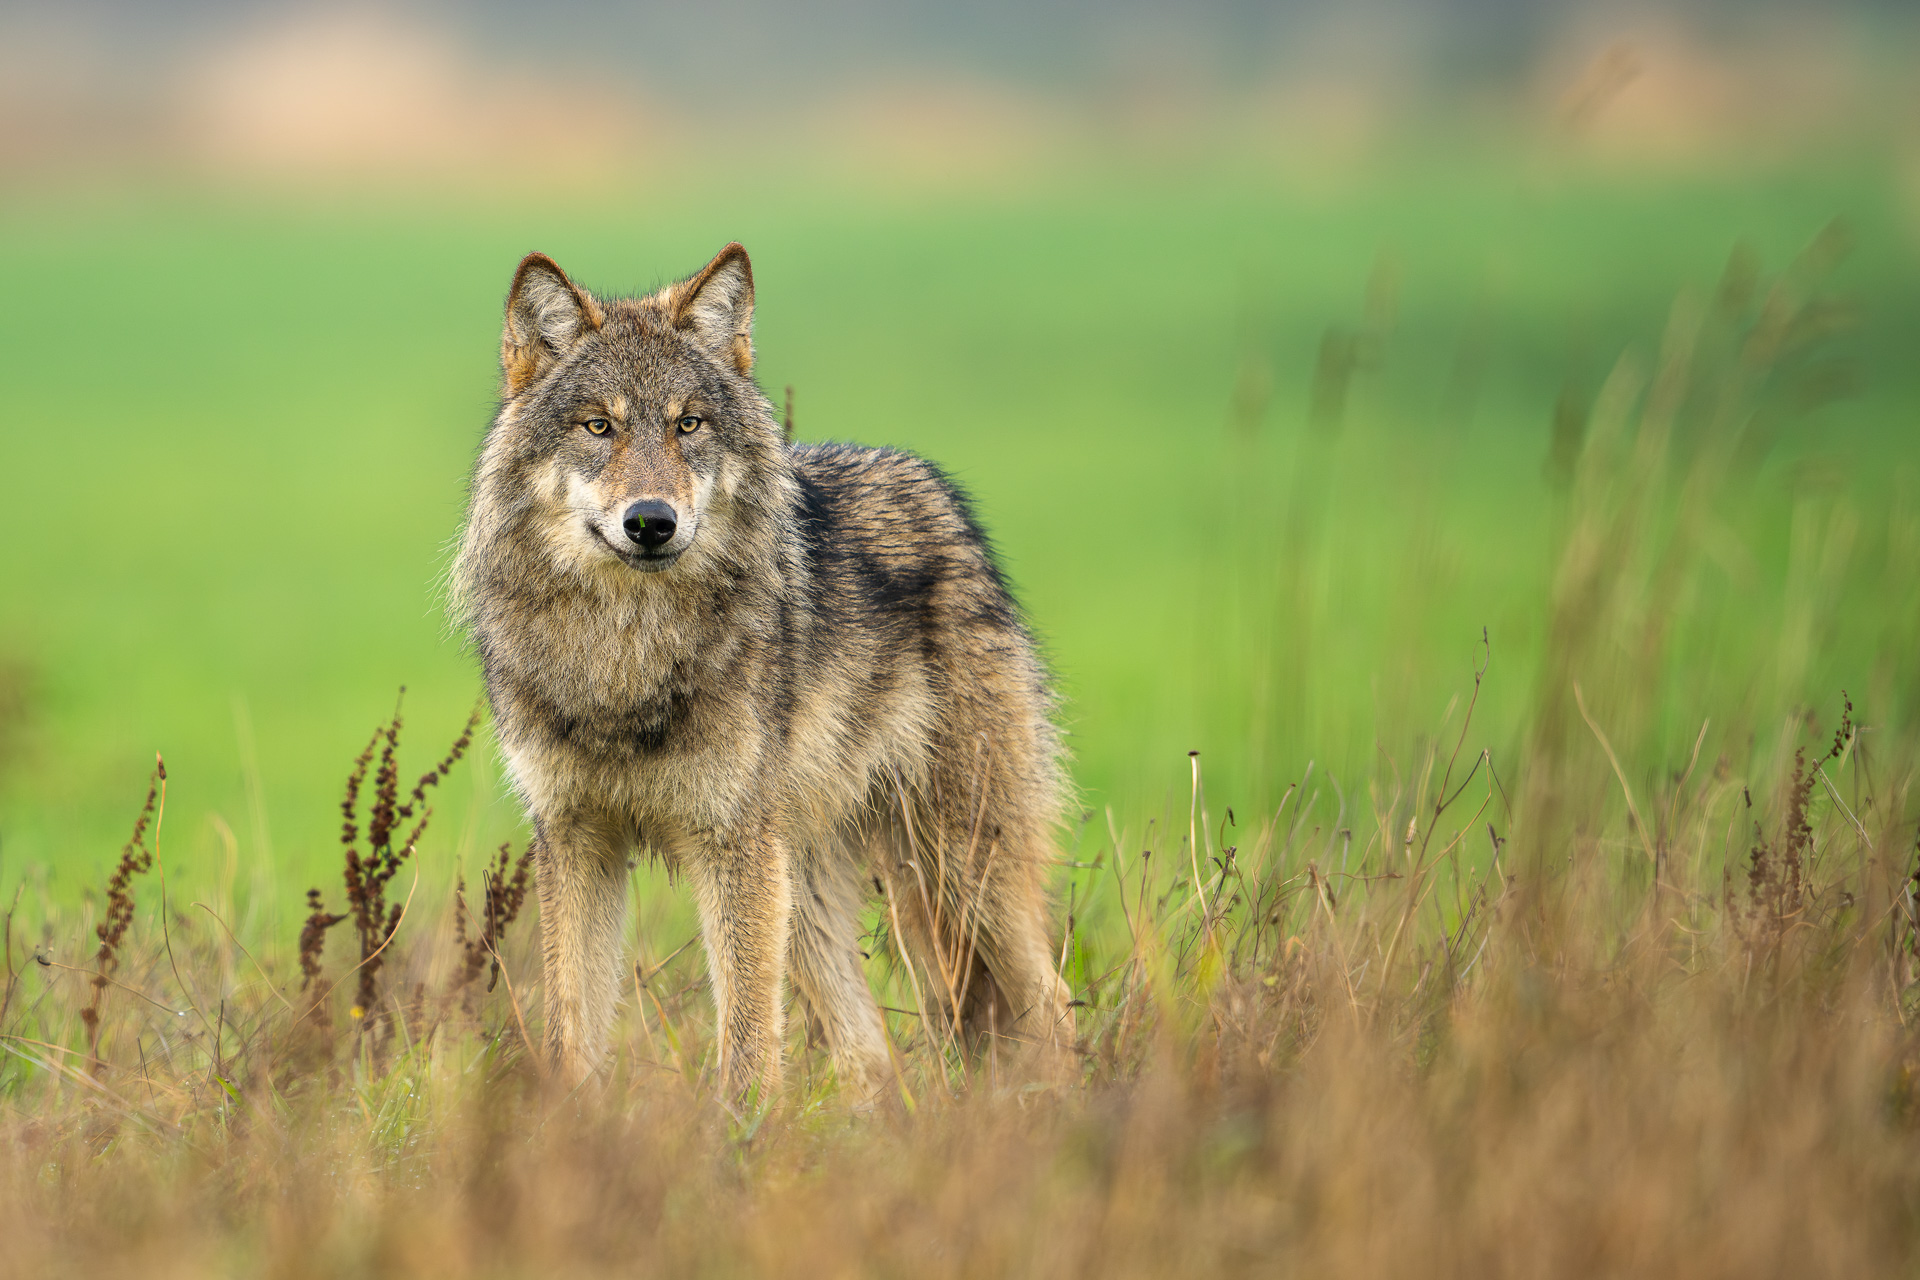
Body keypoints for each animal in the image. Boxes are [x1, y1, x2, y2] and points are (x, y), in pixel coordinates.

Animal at [451, 243, 1074, 1098]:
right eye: (598, 426)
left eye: (688, 424)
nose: (651, 522)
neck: (627, 654)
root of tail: (940, 494)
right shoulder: (577, 842)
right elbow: (573, 1032)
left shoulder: (731, 846)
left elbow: (748, 1047)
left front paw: (741, 1135)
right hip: (813, 888)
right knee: (869, 1053)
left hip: (959, 864)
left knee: (1053, 1001)